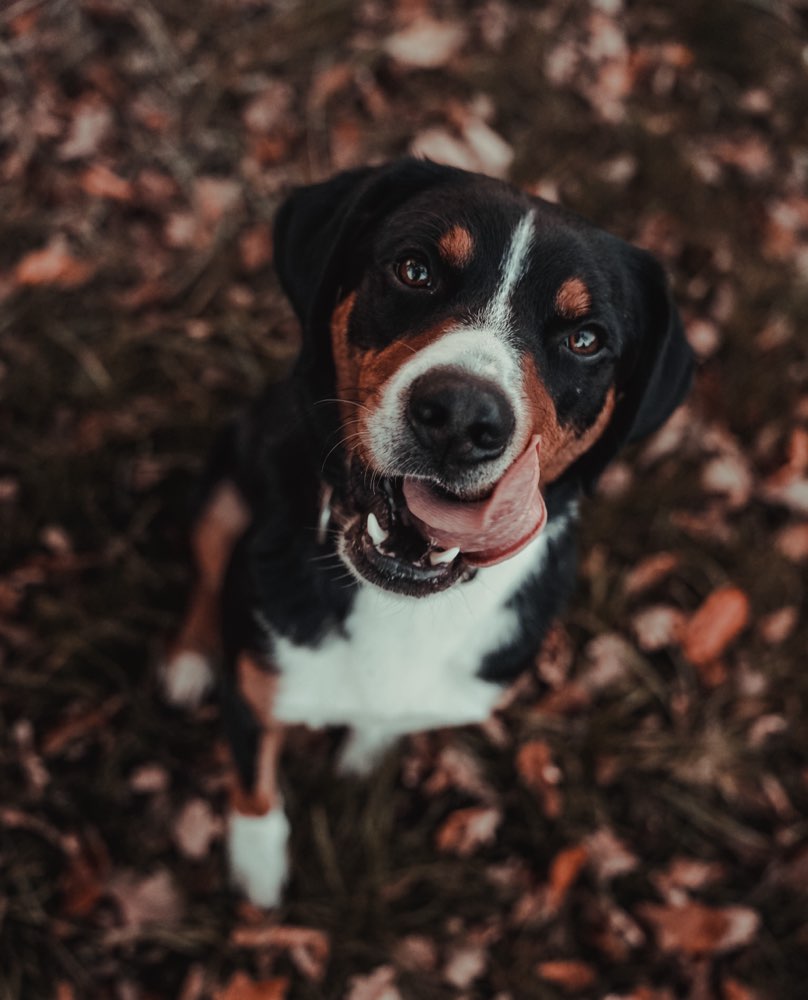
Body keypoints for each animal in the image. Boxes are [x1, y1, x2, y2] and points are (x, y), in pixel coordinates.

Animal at [159, 156, 696, 908]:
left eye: (585, 339)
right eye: (415, 271)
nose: (462, 417)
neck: (403, 605)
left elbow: (384, 724)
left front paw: (362, 754)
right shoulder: (256, 687)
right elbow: (255, 786)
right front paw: (257, 872)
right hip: (228, 477)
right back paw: (189, 661)